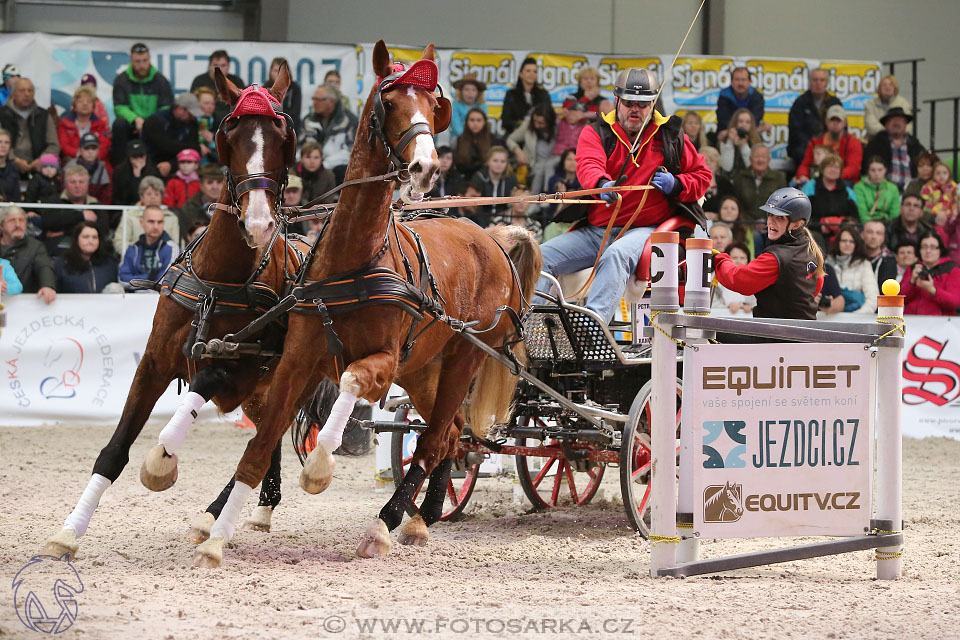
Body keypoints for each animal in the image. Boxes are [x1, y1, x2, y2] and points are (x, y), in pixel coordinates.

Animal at [40, 62, 304, 556]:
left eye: (283, 133)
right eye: (230, 131)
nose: (258, 221)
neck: (220, 281)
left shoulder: (238, 367)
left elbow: (196, 392)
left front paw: (161, 462)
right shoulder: (154, 362)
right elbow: (114, 449)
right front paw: (68, 532)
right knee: (267, 435)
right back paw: (253, 508)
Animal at [194, 42, 540, 568]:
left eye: (432, 104)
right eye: (390, 102)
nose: (426, 166)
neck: (353, 257)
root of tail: (493, 239)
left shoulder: (383, 360)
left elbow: (352, 382)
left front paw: (318, 467)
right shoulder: (297, 359)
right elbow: (263, 437)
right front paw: (217, 533)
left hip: (463, 356)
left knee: (434, 438)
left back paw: (387, 522)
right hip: (425, 371)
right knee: (452, 433)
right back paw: (423, 517)